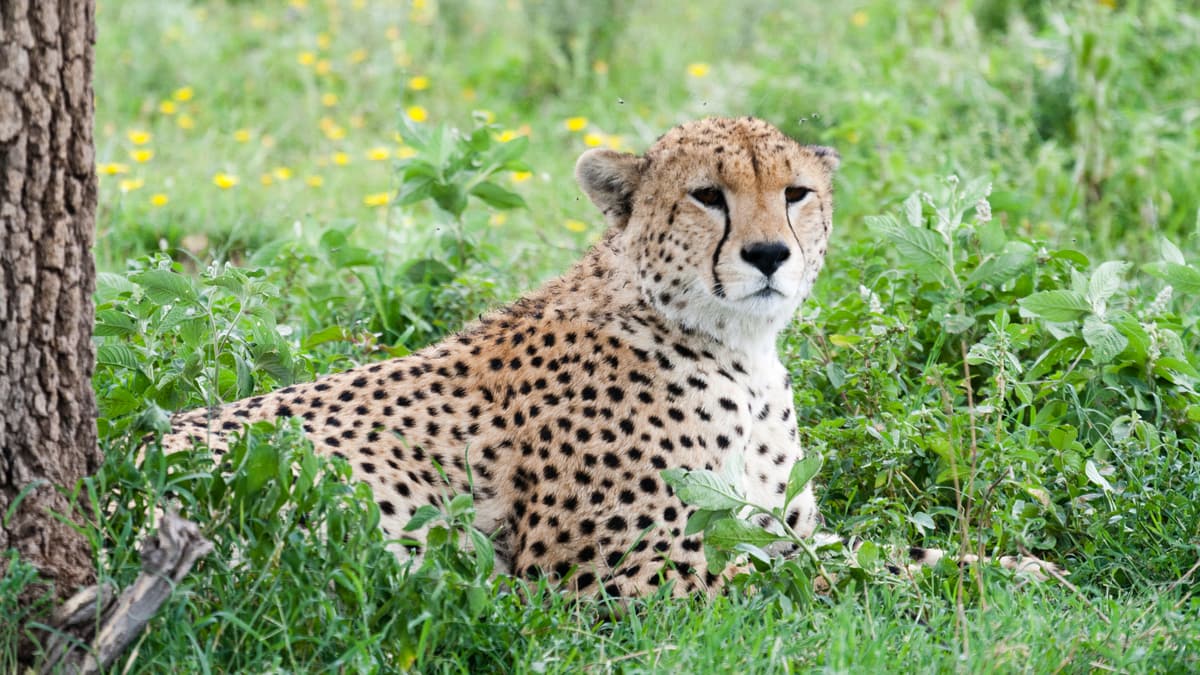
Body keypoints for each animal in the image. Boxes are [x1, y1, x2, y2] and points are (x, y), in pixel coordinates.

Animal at [165, 117, 1058, 597]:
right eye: (708, 196)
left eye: (796, 193)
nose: (770, 253)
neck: (739, 352)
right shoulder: (619, 574)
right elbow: (816, 582)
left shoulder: (780, 527)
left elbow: (892, 551)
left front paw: (1020, 566)